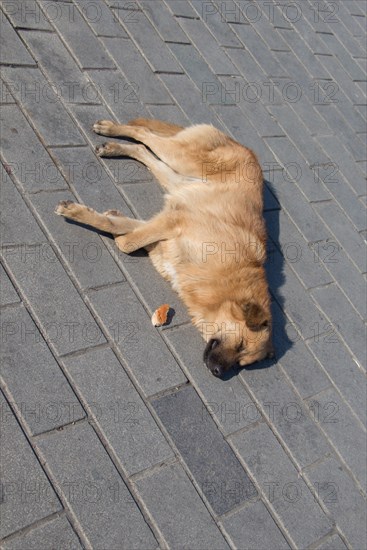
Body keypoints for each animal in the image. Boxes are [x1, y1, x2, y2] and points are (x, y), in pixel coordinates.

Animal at [54, 119, 274, 380]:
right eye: (240, 345)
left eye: (242, 363)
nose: (218, 372)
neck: (227, 285)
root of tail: (244, 148)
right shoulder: (174, 220)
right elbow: (128, 243)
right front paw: (80, 213)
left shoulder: (168, 223)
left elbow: (126, 230)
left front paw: (110, 217)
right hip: (181, 158)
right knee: (144, 134)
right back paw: (111, 130)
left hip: (177, 179)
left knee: (144, 150)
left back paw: (113, 147)